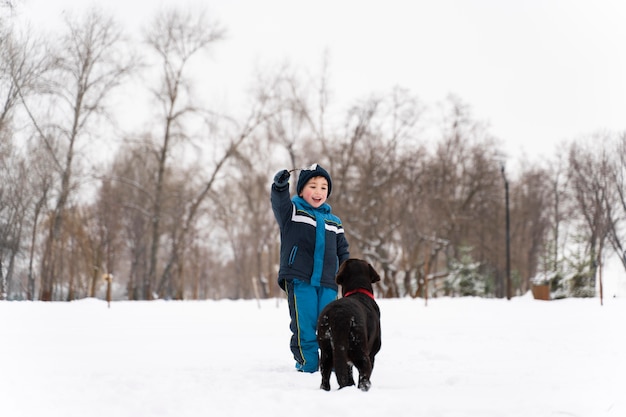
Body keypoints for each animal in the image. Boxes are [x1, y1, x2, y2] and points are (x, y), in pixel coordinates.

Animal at [316, 256, 380, 390]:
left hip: (326, 351)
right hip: (360, 350)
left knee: (325, 377)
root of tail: (339, 315)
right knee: (364, 375)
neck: (358, 290)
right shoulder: (372, 353)